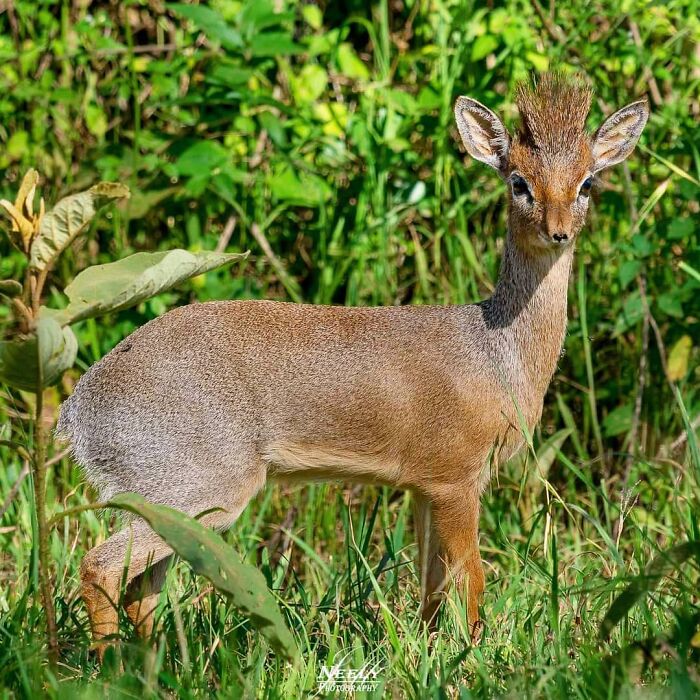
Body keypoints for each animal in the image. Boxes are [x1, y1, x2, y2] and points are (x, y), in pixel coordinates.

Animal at [57, 74, 648, 656]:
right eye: (519, 182)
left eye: (587, 183)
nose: (559, 230)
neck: (498, 354)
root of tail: (79, 410)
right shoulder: (457, 477)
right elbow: (472, 579)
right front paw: (477, 656)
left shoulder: (423, 485)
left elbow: (432, 585)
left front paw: (431, 651)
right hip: (203, 487)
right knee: (100, 565)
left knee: (142, 587)